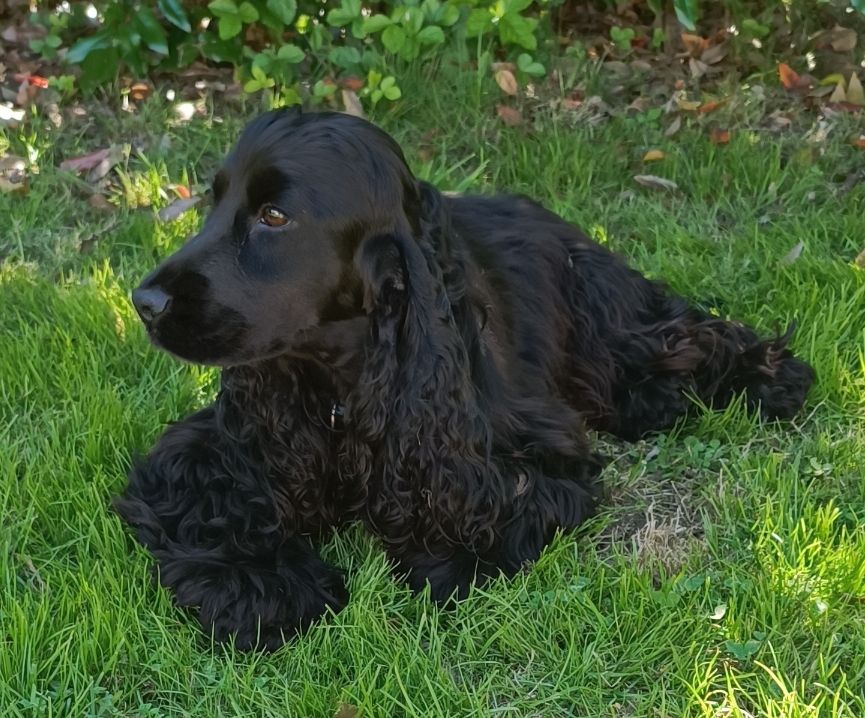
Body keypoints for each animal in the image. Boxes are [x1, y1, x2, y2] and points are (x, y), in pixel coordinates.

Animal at [116, 108, 816, 652]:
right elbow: (209, 506)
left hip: (600, 308)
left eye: (275, 216)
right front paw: (269, 585)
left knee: (682, 335)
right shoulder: (211, 447)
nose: (143, 302)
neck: (344, 379)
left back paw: (767, 376)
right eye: (215, 204)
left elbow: (491, 510)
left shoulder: (525, 451)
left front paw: (432, 563)